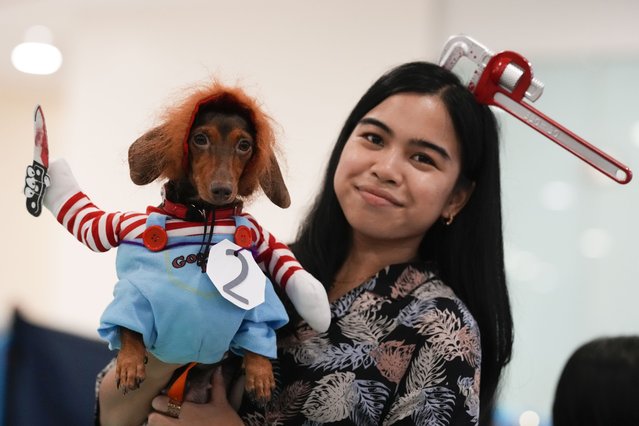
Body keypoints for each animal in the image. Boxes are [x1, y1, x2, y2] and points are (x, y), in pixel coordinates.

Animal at [32, 81, 330, 404]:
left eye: (245, 145)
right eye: (199, 139)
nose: (223, 190)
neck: (203, 215)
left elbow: (260, 331)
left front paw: (260, 373)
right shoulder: (133, 289)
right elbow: (128, 328)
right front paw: (129, 363)